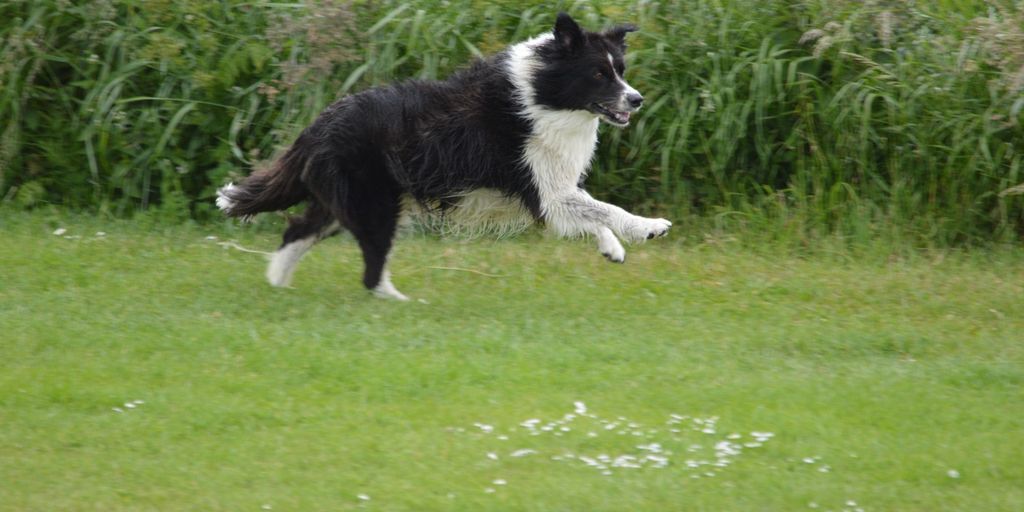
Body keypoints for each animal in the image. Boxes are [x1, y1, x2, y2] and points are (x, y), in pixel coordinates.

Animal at [216, 12, 671, 299]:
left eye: (621, 70)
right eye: (598, 74)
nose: (637, 100)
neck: (543, 93)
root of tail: (316, 126)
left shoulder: (553, 186)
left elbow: (591, 209)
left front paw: (612, 248)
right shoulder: (543, 187)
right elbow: (603, 207)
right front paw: (649, 227)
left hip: (342, 202)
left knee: (296, 231)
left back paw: (278, 285)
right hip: (374, 205)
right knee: (369, 268)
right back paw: (401, 302)